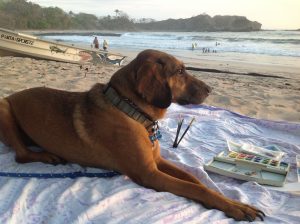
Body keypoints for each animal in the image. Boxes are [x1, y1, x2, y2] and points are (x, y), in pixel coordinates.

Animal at [0, 49, 264, 220]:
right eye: (179, 71)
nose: (211, 89)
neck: (131, 110)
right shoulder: (149, 174)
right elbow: (195, 188)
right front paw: (236, 209)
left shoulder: (157, 162)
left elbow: (196, 180)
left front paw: (234, 203)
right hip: (4, 108)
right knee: (21, 155)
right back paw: (46, 156)